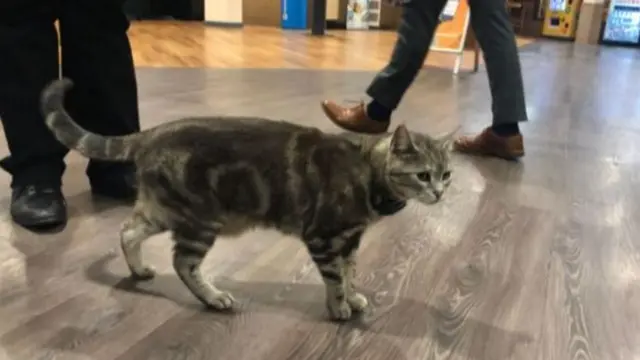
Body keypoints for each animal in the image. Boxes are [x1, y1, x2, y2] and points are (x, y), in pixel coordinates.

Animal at [40, 79, 456, 320]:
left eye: (447, 174)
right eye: (423, 175)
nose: (439, 193)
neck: (368, 172)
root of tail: (152, 132)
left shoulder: (350, 239)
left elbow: (350, 272)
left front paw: (353, 299)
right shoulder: (322, 238)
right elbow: (336, 277)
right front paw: (339, 306)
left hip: (163, 209)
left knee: (128, 231)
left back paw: (139, 270)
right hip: (199, 220)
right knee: (182, 262)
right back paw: (213, 298)